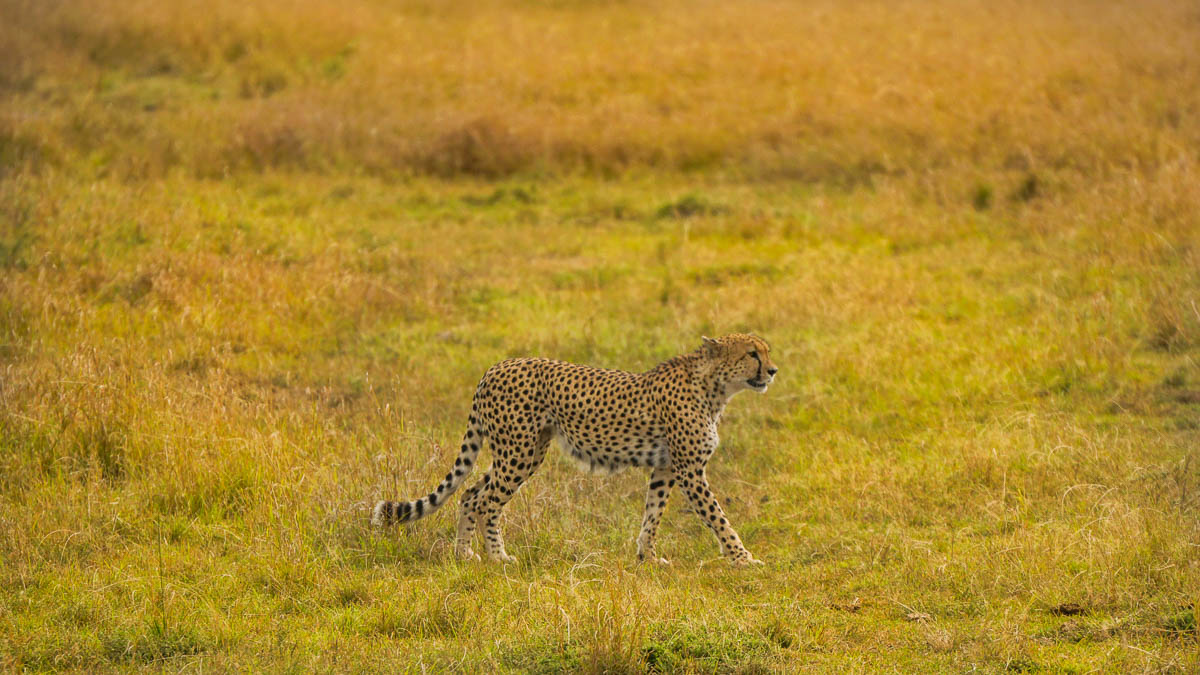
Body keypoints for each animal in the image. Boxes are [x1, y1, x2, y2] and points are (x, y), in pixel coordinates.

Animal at [369, 333, 777, 564]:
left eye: (766, 352)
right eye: (752, 354)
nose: (772, 371)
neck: (714, 388)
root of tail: (496, 366)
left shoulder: (665, 468)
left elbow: (653, 514)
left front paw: (647, 557)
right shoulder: (690, 471)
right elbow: (718, 517)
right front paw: (743, 558)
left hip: (523, 452)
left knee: (470, 494)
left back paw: (464, 554)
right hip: (517, 453)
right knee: (487, 503)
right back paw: (497, 558)